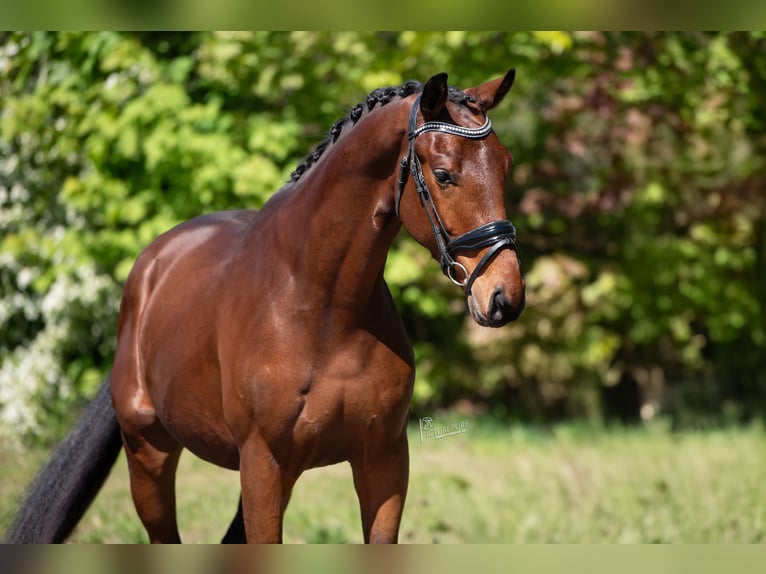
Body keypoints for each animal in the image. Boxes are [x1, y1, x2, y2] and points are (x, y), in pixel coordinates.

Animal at [6, 69, 525, 544]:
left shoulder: (383, 460)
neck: (323, 309)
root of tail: (150, 267)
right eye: (444, 174)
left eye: (504, 166)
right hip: (149, 455)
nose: (505, 297)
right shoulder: (262, 462)